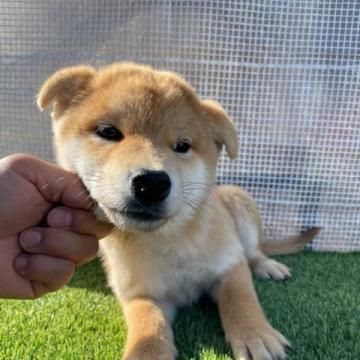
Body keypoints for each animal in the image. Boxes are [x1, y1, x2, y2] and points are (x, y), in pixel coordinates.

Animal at [38, 63, 320, 358]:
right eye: (108, 132)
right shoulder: (141, 292)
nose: (152, 183)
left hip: (238, 200)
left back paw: (268, 266)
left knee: (254, 251)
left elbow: (240, 298)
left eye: (182, 146)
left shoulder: (230, 262)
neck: (169, 239)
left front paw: (256, 334)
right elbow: (147, 322)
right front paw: (146, 351)